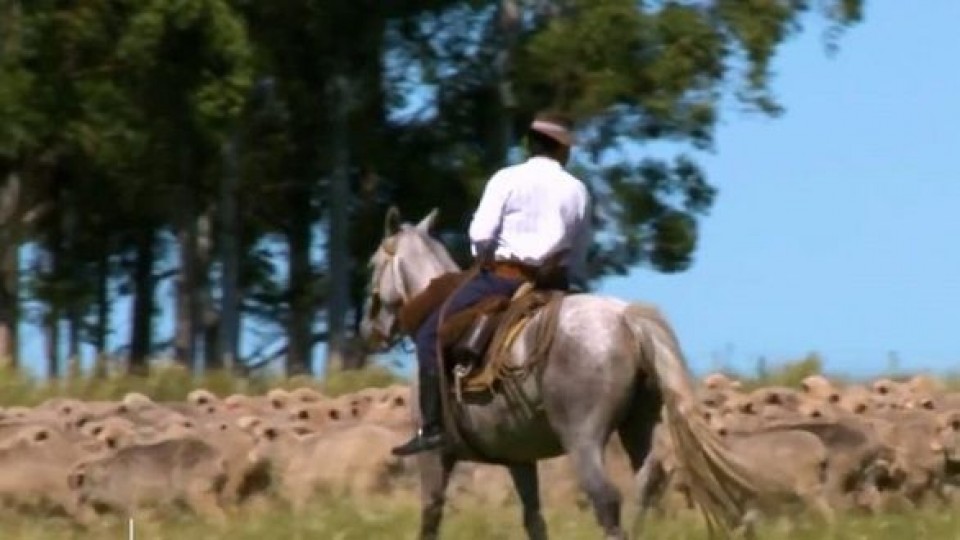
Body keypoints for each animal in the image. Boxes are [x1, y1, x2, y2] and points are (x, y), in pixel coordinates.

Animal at [360, 208, 772, 540]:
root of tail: (625, 318)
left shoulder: (434, 457)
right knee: (646, 486)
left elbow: (430, 517)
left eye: (371, 265)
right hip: (639, 424)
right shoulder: (519, 457)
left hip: (583, 437)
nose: (370, 330)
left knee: (606, 498)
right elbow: (534, 519)